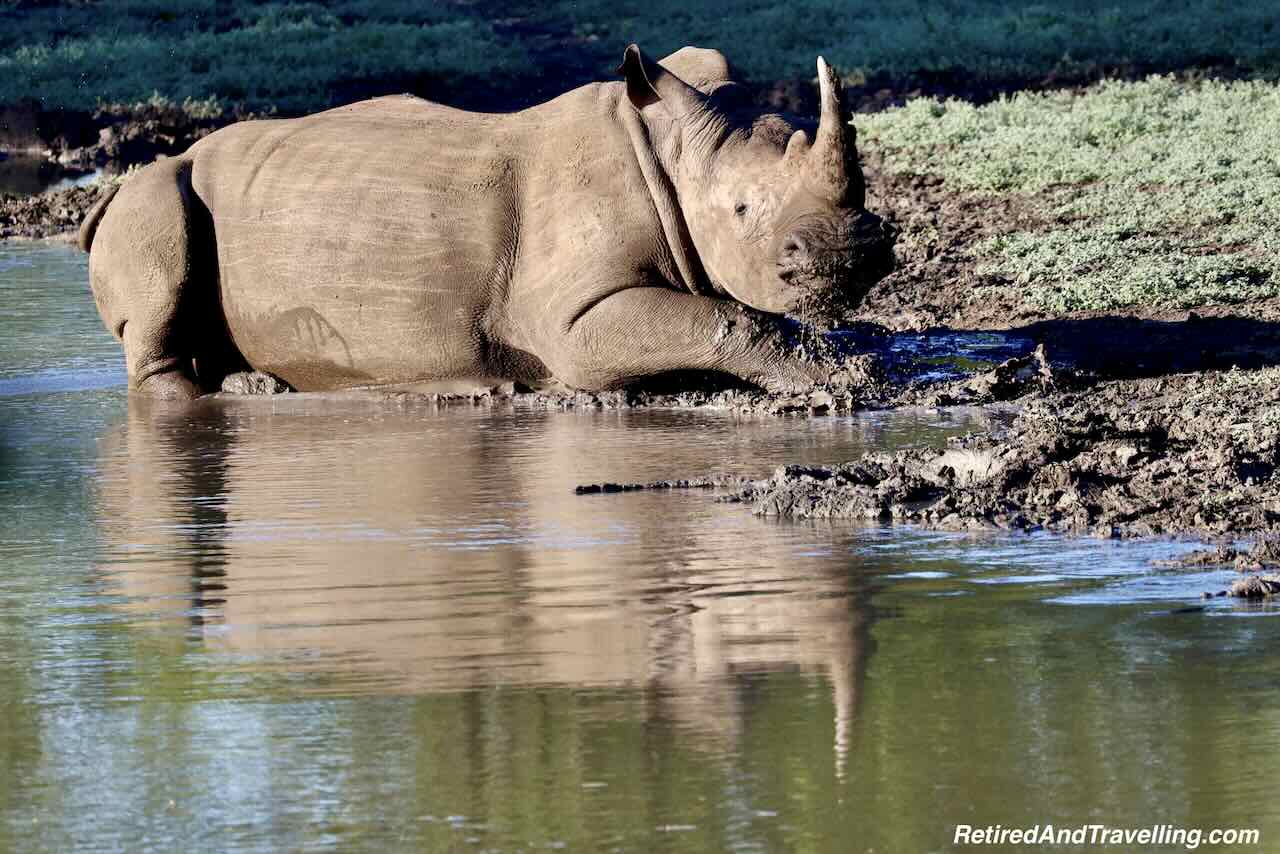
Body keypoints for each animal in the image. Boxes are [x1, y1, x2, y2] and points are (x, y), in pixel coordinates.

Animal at [77, 42, 890, 396]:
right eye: (743, 208)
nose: (853, 252)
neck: (670, 154)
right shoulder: (573, 319)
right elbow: (722, 319)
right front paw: (838, 378)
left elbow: (723, 312)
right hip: (153, 193)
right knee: (160, 254)